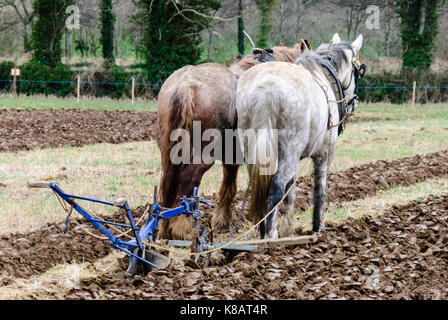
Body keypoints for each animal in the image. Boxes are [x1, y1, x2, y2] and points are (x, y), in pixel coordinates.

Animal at [156, 41, 310, 239]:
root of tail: (185, 85)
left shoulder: (231, 158)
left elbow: (228, 187)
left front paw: (223, 223)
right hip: (205, 153)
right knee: (187, 179)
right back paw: (181, 228)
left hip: (169, 150)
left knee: (169, 184)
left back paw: (164, 228)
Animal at [238, 33, 364, 239]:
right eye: (358, 71)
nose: (354, 103)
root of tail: (267, 88)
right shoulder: (324, 153)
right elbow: (320, 190)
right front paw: (318, 227)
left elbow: (291, 193)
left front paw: (288, 229)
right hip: (290, 151)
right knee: (275, 188)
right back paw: (271, 237)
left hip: (254, 151)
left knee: (261, 187)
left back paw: (264, 234)